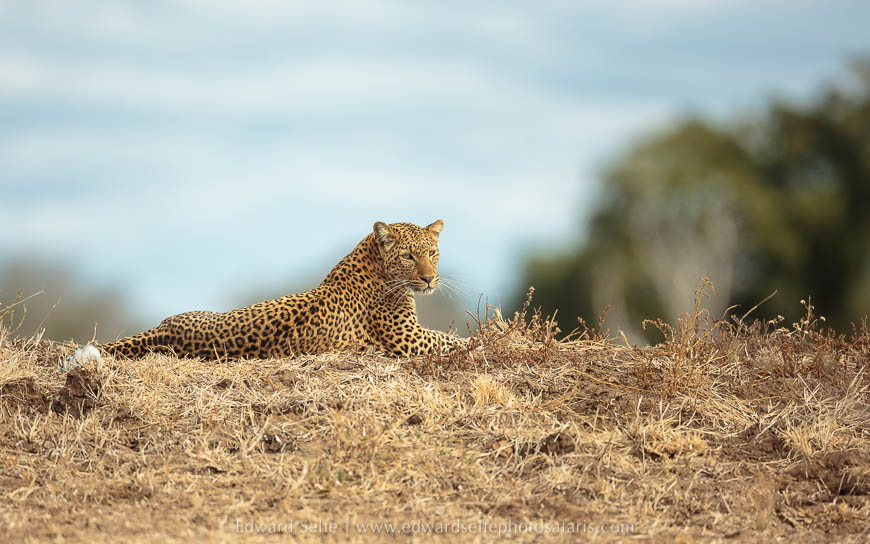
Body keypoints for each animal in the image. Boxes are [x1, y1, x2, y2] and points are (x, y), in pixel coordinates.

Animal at [62, 220, 464, 371]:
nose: (430, 279)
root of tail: (166, 329)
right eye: (408, 255)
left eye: (432, 252)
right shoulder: (406, 339)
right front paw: (479, 339)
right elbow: (453, 340)